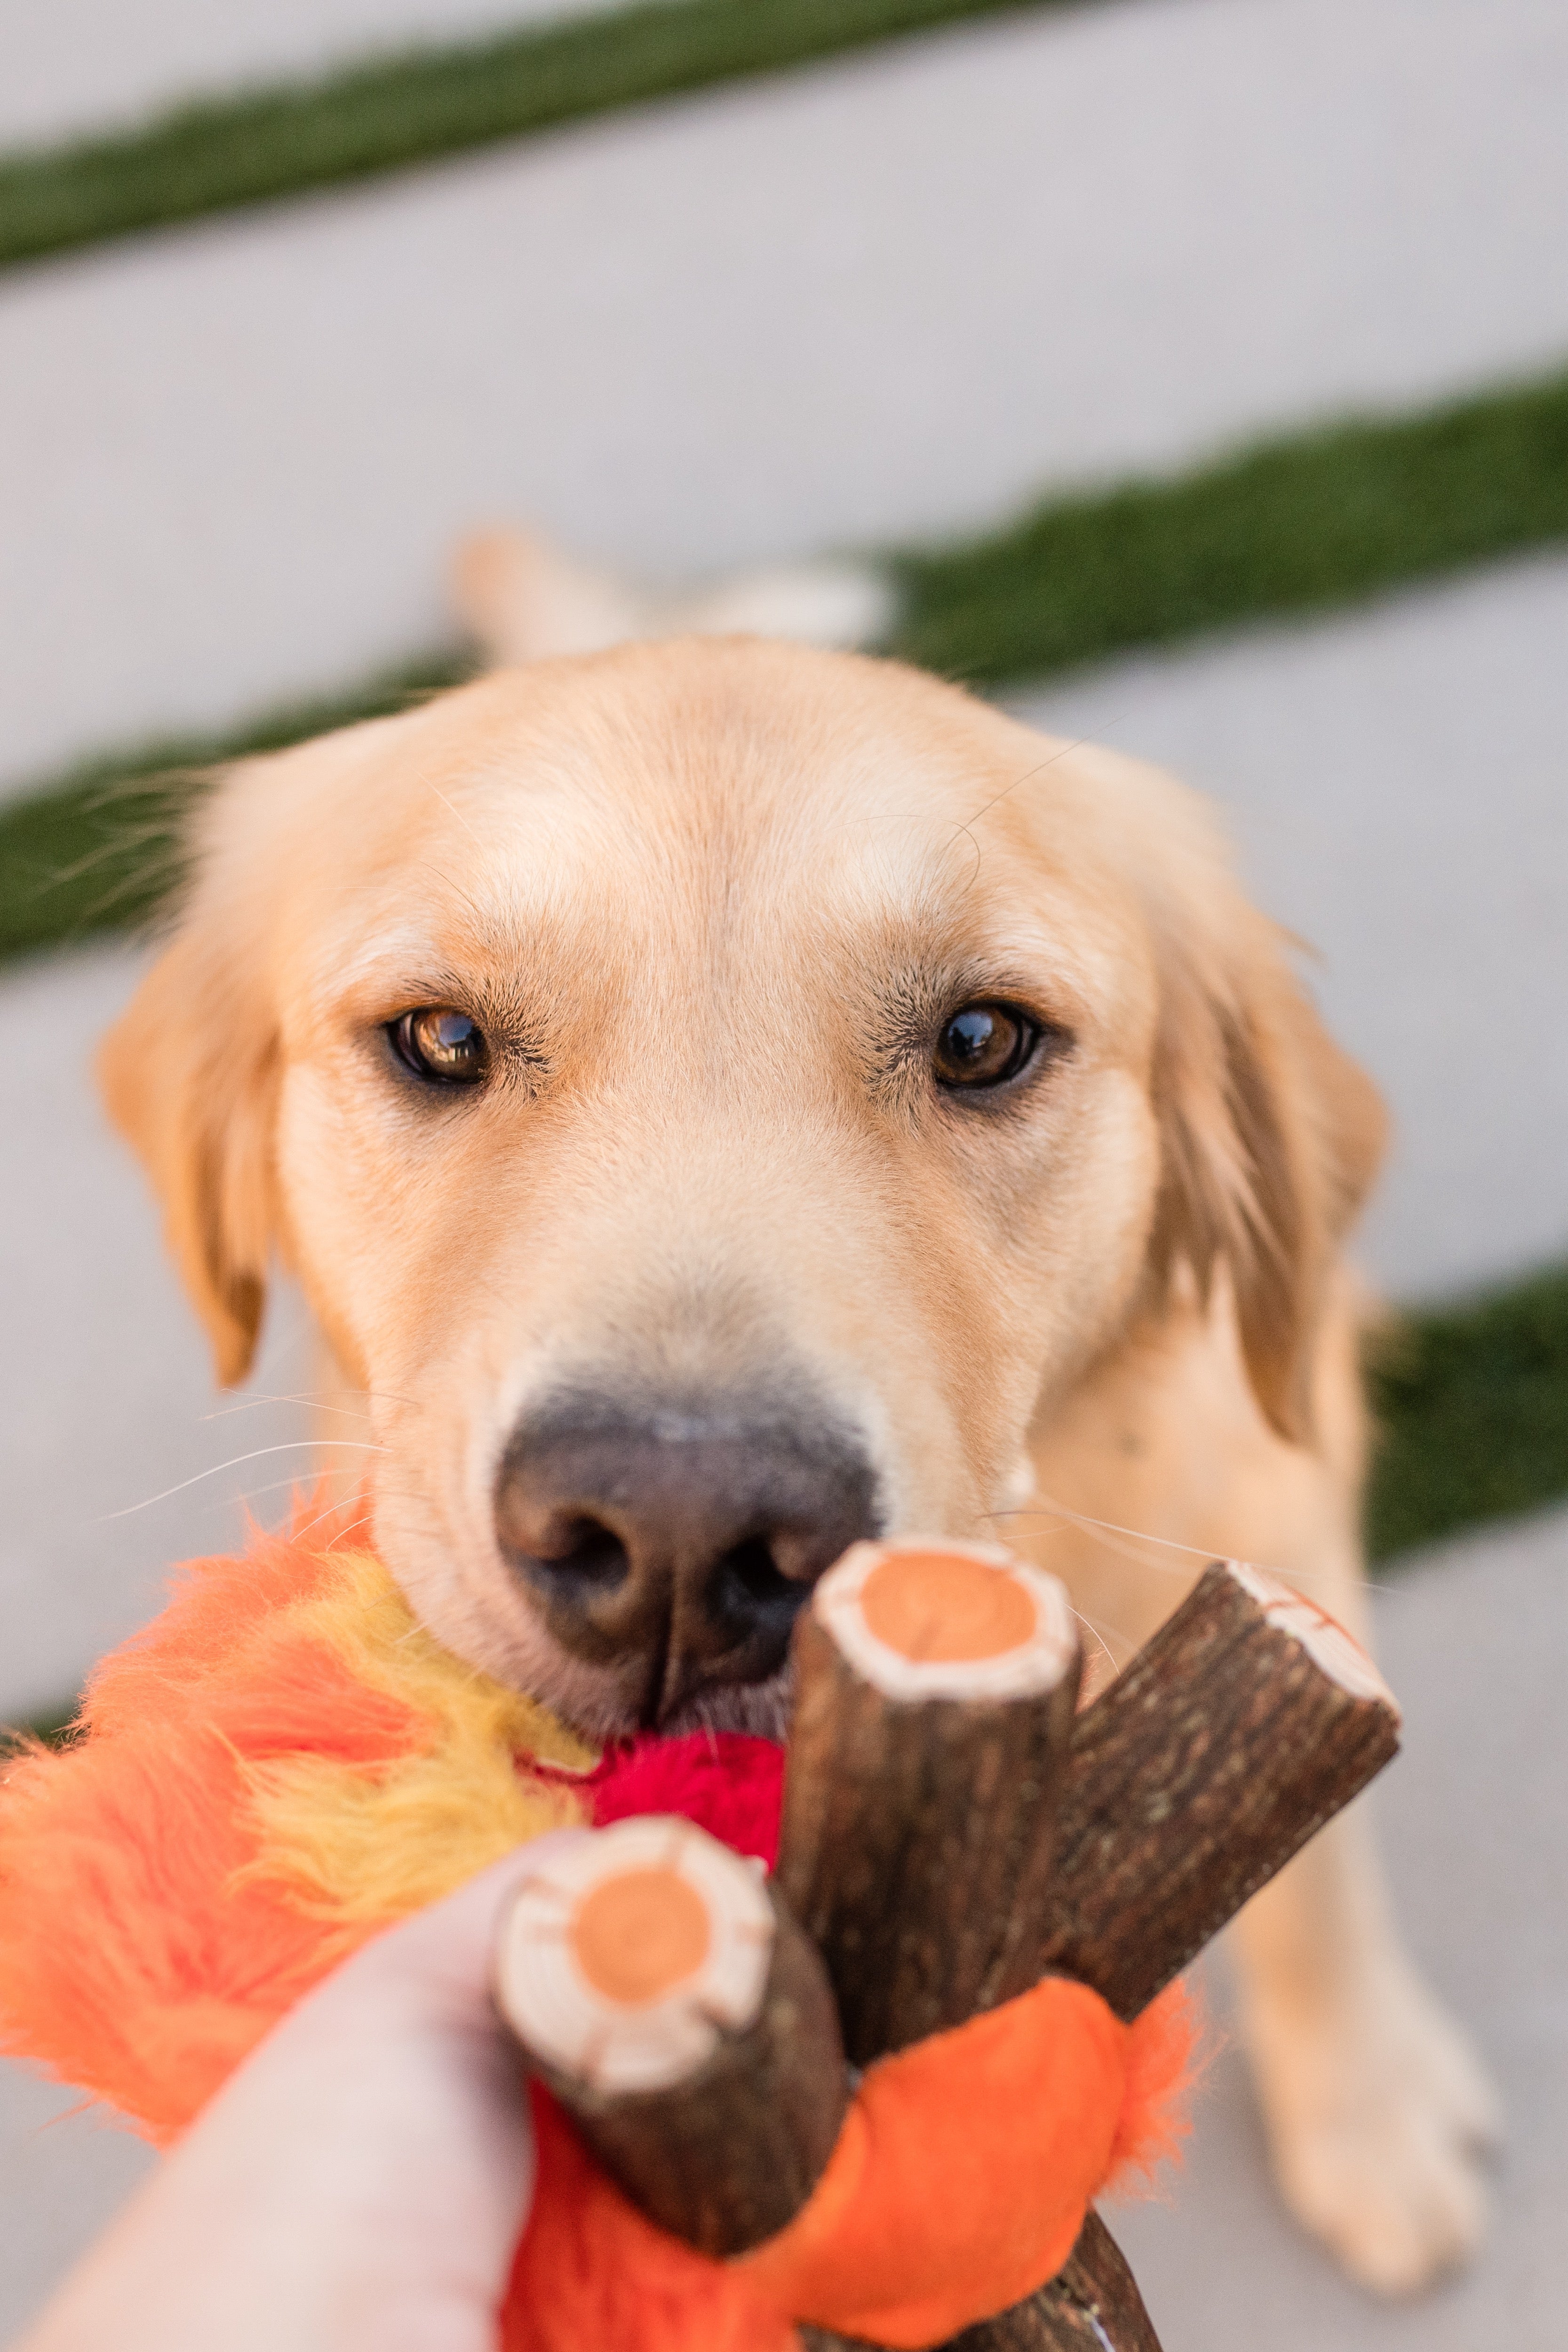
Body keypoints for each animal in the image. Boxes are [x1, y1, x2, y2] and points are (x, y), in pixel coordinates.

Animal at [98, 541, 1495, 2286]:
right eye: (440, 1036)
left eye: (981, 1037)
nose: (681, 1539)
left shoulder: (1269, 1498)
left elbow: (1316, 1877)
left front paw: (1370, 2106)